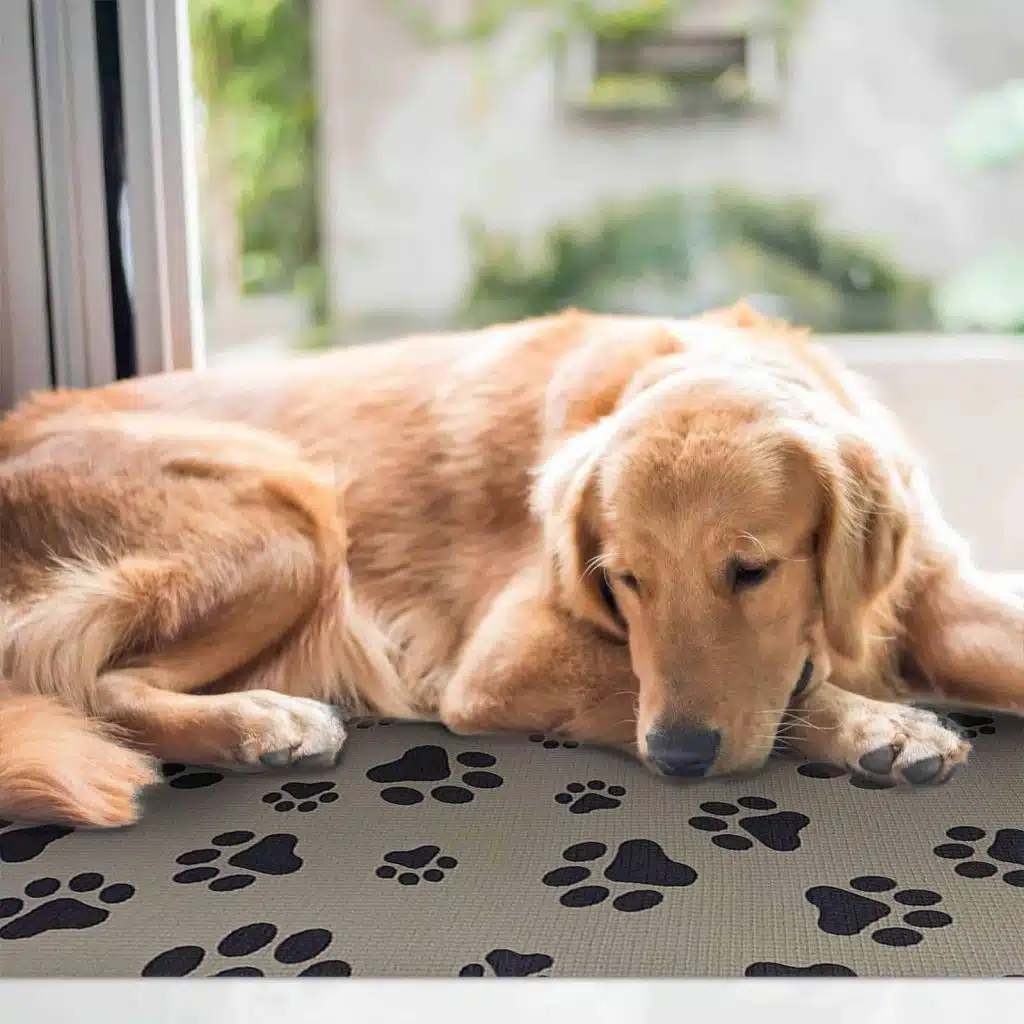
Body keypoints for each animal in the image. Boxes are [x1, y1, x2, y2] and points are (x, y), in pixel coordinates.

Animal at [2, 301, 1024, 823]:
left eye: (751, 571)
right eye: (624, 580)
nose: (677, 758)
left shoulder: (939, 590)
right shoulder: (500, 661)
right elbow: (769, 694)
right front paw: (875, 724)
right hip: (289, 519)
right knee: (91, 681)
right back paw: (263, 721)